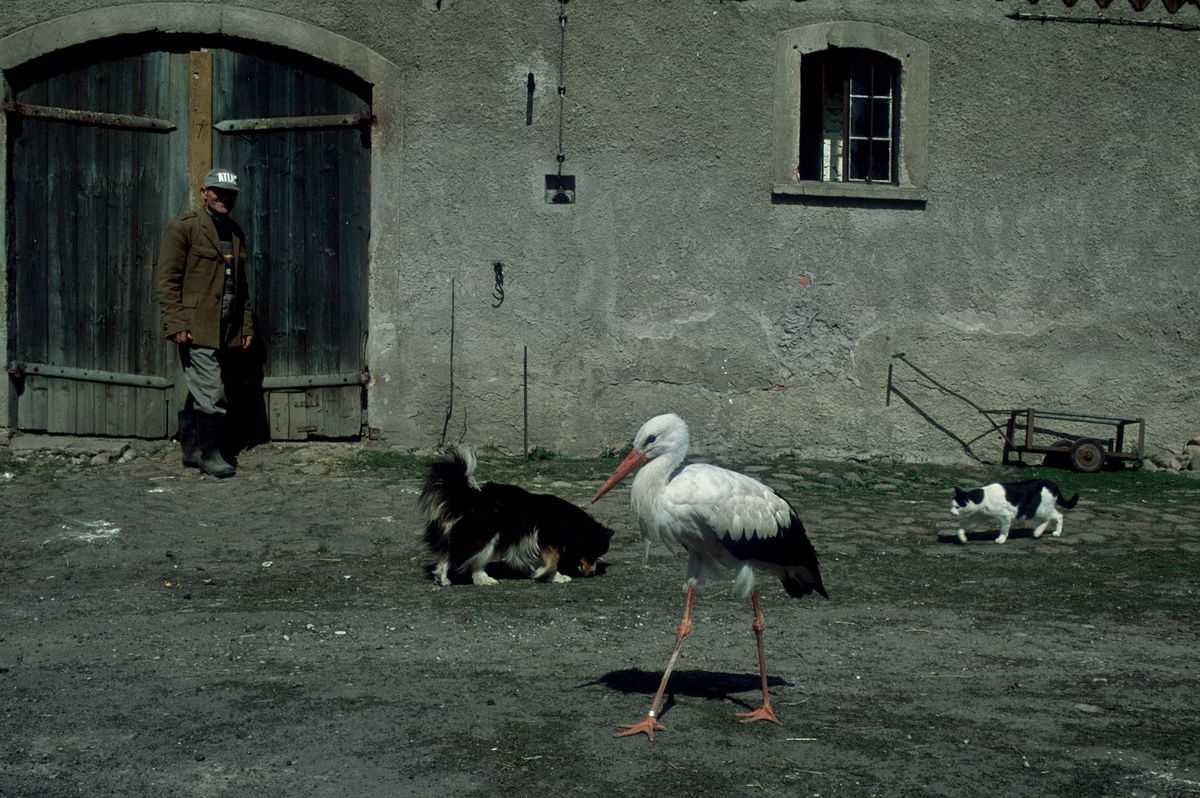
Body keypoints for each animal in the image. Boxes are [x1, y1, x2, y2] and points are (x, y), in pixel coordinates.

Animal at [420, 448, 609, 585]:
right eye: (593, 553)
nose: (592, 574)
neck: (570, 522)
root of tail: (474, 497)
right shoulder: (545, 538)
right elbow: (553, 560)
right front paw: (547, 573)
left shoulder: (529, 544)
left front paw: (552, 576)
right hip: (485, 534)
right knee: (464, 556)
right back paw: (475, 578)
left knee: (456, 553)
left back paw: (451, 578)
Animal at [950, 480, 1084, 542]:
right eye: (952, 506)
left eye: (957, 507)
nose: (951, 512)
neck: (984, 498)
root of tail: (1051, 483)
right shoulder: (978, 516)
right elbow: (963, 526)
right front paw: (962, 537)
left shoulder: (1006, 516)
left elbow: (1004, 529)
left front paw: (1001, 539)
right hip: (1042, 509)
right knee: (1054, 516)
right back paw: (1041, 532)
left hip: (1039, 509)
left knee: (1055, 516)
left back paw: (1045, 532)